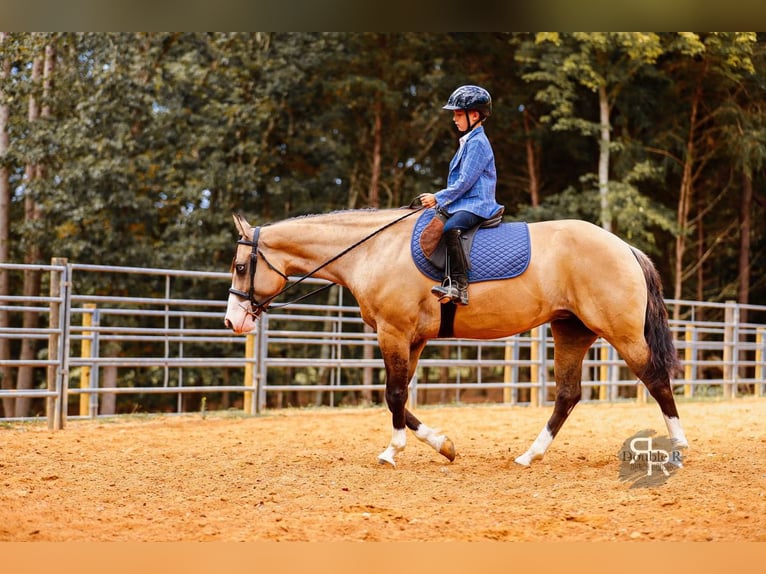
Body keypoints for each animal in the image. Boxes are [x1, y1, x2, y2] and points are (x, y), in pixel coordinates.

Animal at [224, 207, 689, 468]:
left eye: (241, 267)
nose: (233, 322)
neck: (374, 251)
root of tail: (625, 248)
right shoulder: (411, 339)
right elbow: (400, 398)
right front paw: (443, 446)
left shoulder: (395, 333)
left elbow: (394, 395)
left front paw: (393, 451)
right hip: (571, 331)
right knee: (568, 395)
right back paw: (529, 456)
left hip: (621, 332)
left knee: (656, 380)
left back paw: (679, 447)